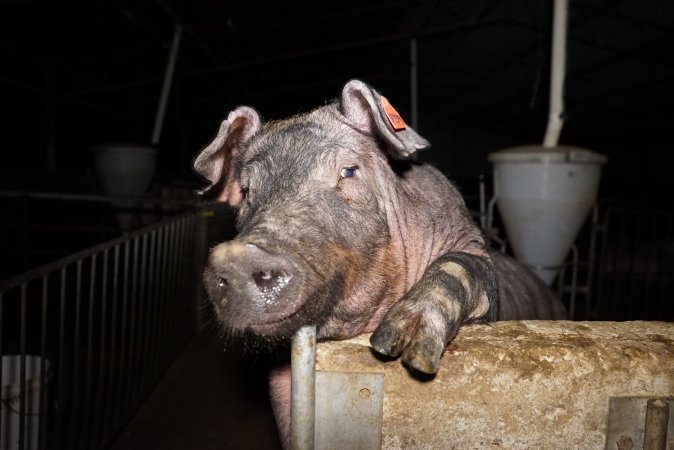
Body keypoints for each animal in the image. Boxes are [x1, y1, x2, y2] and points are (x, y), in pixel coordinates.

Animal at [192, 78, 564, 446]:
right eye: (246, 191)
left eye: (348, 171)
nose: (237, 255)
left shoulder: (470, 247)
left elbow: (460, 266)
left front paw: (400, 346)